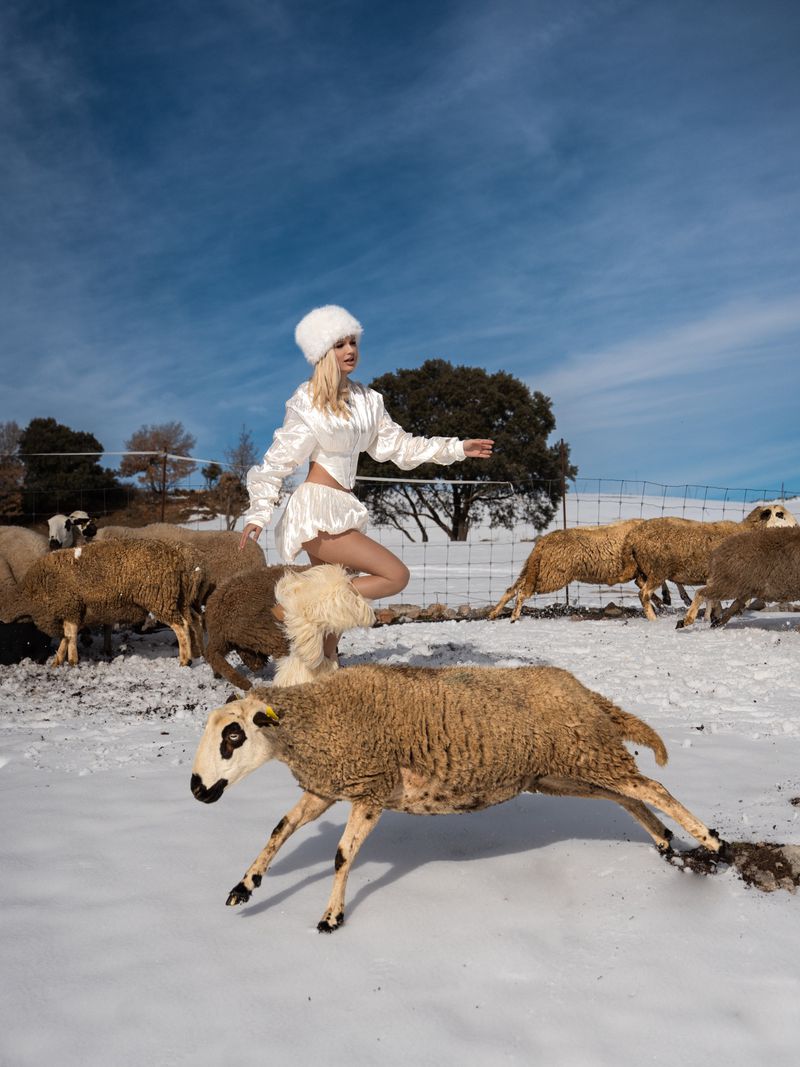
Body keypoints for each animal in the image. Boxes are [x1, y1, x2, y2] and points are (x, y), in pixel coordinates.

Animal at [17, 539, 207, 667]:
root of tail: (177, 558)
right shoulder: (75, 610)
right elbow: (69, 635)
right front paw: (58, 661)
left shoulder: (70, 608)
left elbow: (69, 634)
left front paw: (71, 661)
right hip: (181, 599)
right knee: (194, 620)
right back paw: (198, 653)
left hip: (160, 598)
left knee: (181, 626)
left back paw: (185, 660)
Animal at [191, 664, 726, 932]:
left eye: (234, 736)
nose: (196, 788)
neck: (318, 720)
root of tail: (585, 693)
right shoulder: (328, 787)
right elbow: (279, 830)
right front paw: (245, 887)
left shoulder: (372, 789)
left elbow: (342, 855)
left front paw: (331, 916)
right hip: (565, 769)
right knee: (626, 797)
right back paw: (664, 841)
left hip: (585, 751)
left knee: (652, 788)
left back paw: (711, 842)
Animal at [624, 504, 797, 621]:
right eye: (780, 514)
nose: (797, 525)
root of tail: (633, 536)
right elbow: (713, 599)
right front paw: (710, 617)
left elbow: (713, 600)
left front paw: (713, 616)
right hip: (658, 569)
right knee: (643, 594)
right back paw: (653, 618)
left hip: (647, 569)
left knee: (639, 583)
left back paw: (662, 602)